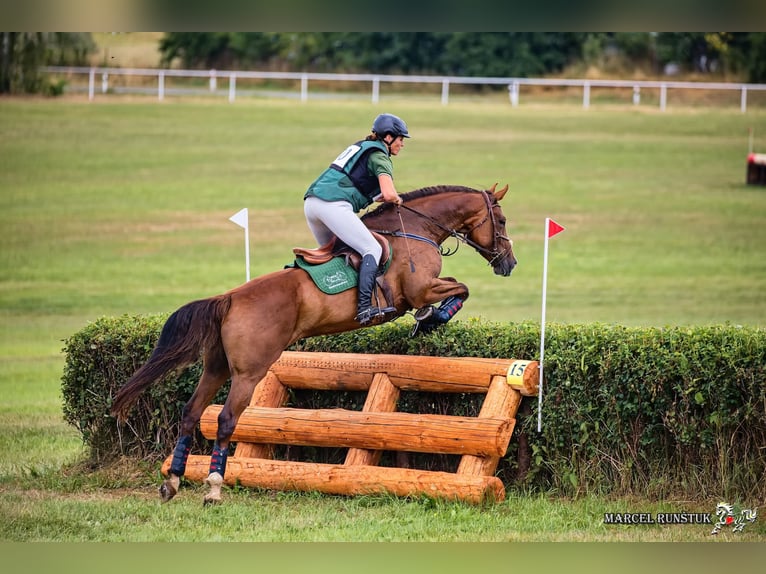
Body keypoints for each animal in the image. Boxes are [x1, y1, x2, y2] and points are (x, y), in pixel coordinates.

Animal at [110, 183, 517, 505]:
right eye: (502, 220)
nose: (509, 263)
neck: (414, 230)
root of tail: (229, 298)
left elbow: (458, 287)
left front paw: (430, 319)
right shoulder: (419, 289)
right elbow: (460, 288)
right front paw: (431, 318)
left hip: (217, 366)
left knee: (191, 412)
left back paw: (173, 482)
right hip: (249, 371)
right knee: (225, 419)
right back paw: (213, 488)